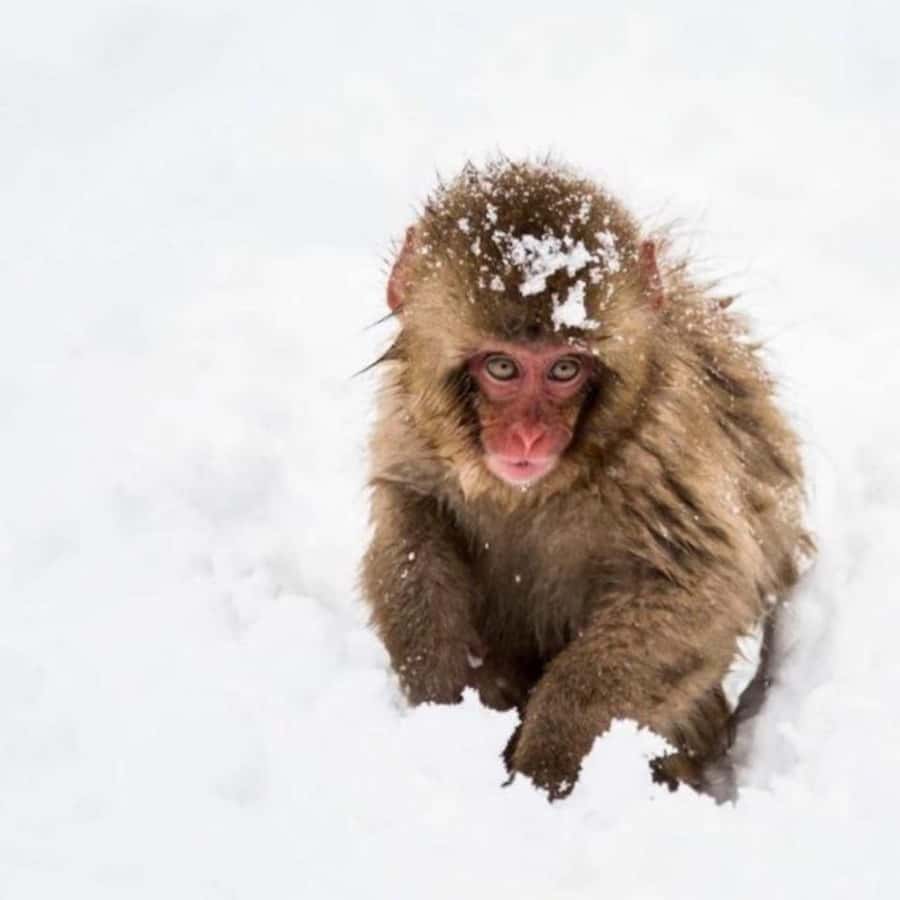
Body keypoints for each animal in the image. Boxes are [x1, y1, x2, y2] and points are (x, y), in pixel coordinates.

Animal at [361, 159, 812, 800]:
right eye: (503, 367)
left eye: (565, 369)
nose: (528, 437)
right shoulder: (414, 431)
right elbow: (412, 521)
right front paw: (439, 703)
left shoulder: (663, 451)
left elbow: (701, 587)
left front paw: (546, 759)